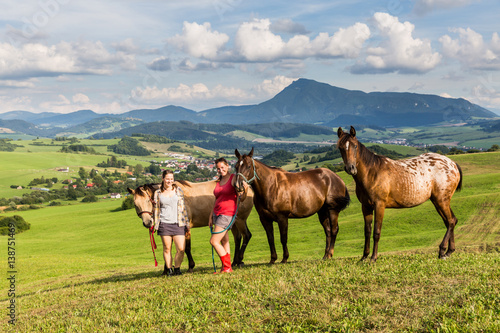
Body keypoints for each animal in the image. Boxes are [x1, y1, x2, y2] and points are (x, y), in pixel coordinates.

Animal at [338, 125, 462, 260]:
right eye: (340, 147)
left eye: (355, 146)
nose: (351, 168)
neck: (372, 172)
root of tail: (453, 164)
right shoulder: (366, 206)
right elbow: (367, 232)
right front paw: (364, 257)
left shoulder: (379, 205)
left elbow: (376, 232)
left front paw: (373, 258)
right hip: (438, 201)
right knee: (450, 221)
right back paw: (449, 251)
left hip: (441, 200)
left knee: (450, 221)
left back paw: (442, 250)